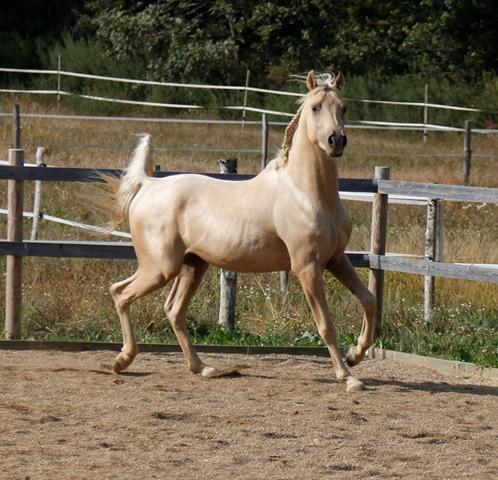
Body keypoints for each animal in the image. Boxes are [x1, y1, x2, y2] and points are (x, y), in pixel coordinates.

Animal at [108, 72, 374, 394]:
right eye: (315, 107)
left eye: (343, 108)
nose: (337, 140)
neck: (306, 193)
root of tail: (148, 184)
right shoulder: (307, 267)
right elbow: (326, 324)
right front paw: (348, 377)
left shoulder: (336, 259)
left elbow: (369, 300)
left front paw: (356, 355)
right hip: (160, 267)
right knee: (120, 293)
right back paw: (123, 360)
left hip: (193, 265)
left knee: (172, 309)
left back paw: (203, 368)